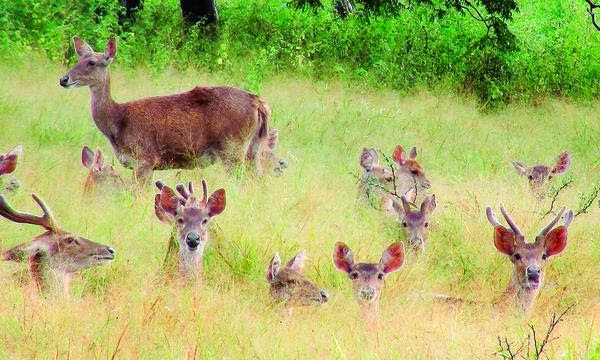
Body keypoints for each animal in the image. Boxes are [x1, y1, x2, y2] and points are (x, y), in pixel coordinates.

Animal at [61, 37, 286, 184]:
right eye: (77, 59)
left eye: (92, 62)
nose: (64, 79)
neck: (118, 123)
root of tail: (260, 105)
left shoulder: (145, 158)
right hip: (252, 148)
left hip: (232, 147)